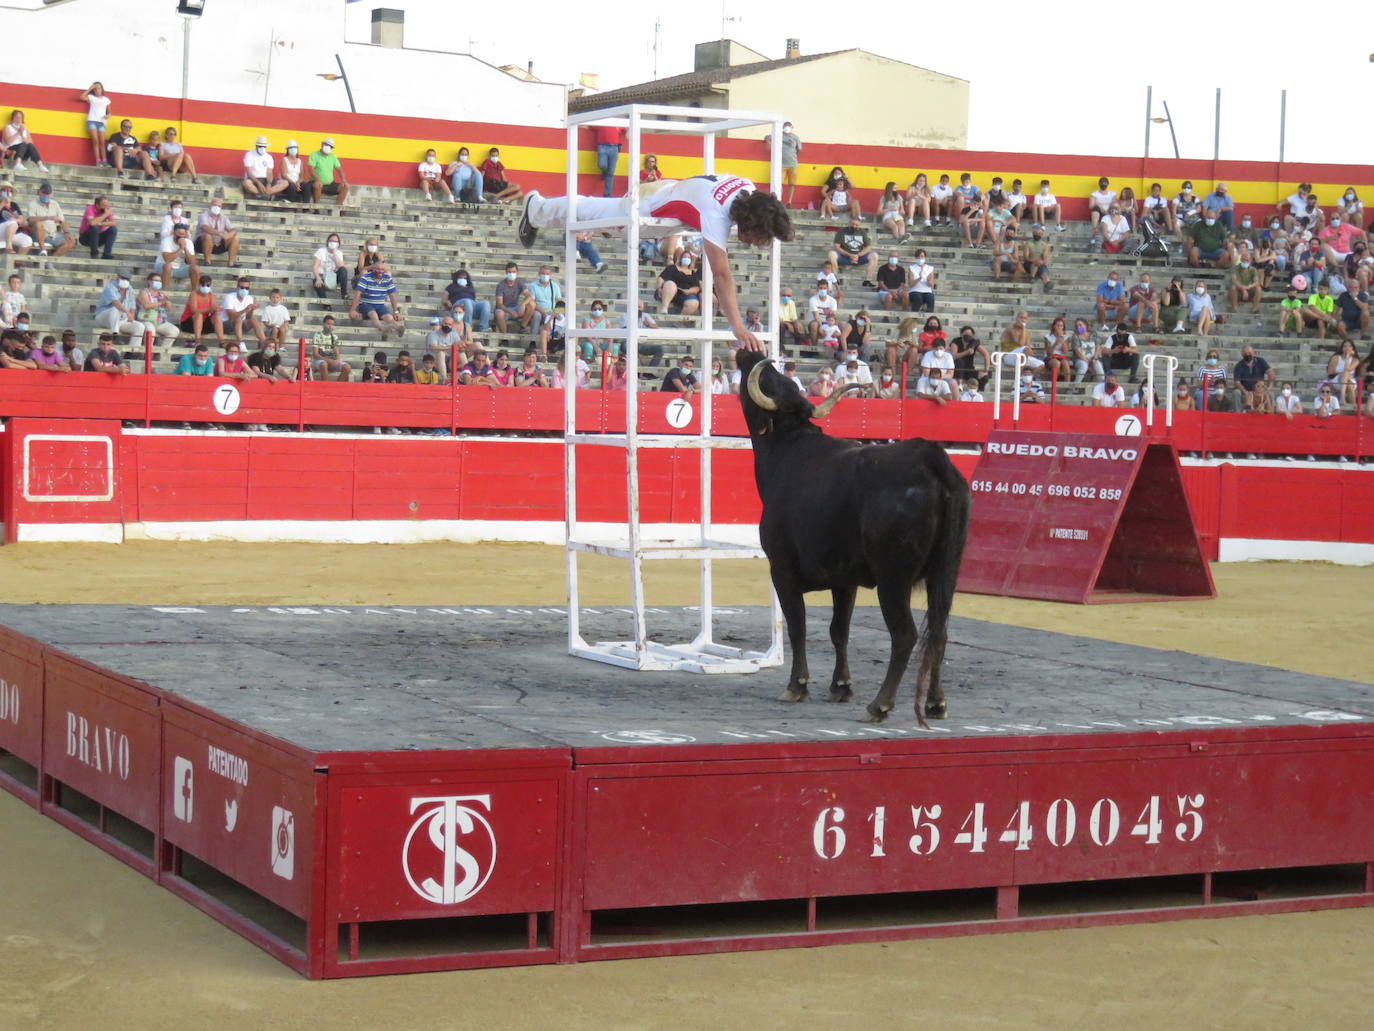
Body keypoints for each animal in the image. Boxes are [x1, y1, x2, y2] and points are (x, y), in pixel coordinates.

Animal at [736, 351, 972, 720]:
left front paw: (797, 686)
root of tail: (931, 459)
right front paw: (841, 686)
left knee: (905, 634)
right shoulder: (844, 579)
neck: (789, 449)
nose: (750, 354)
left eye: (767, 379)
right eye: (777, 378)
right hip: (945, 574)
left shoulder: (782, 569)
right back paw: (936, 703)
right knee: (939, 630)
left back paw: (880, 704)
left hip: (893, 579)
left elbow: (798, 624)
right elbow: (839, 630)